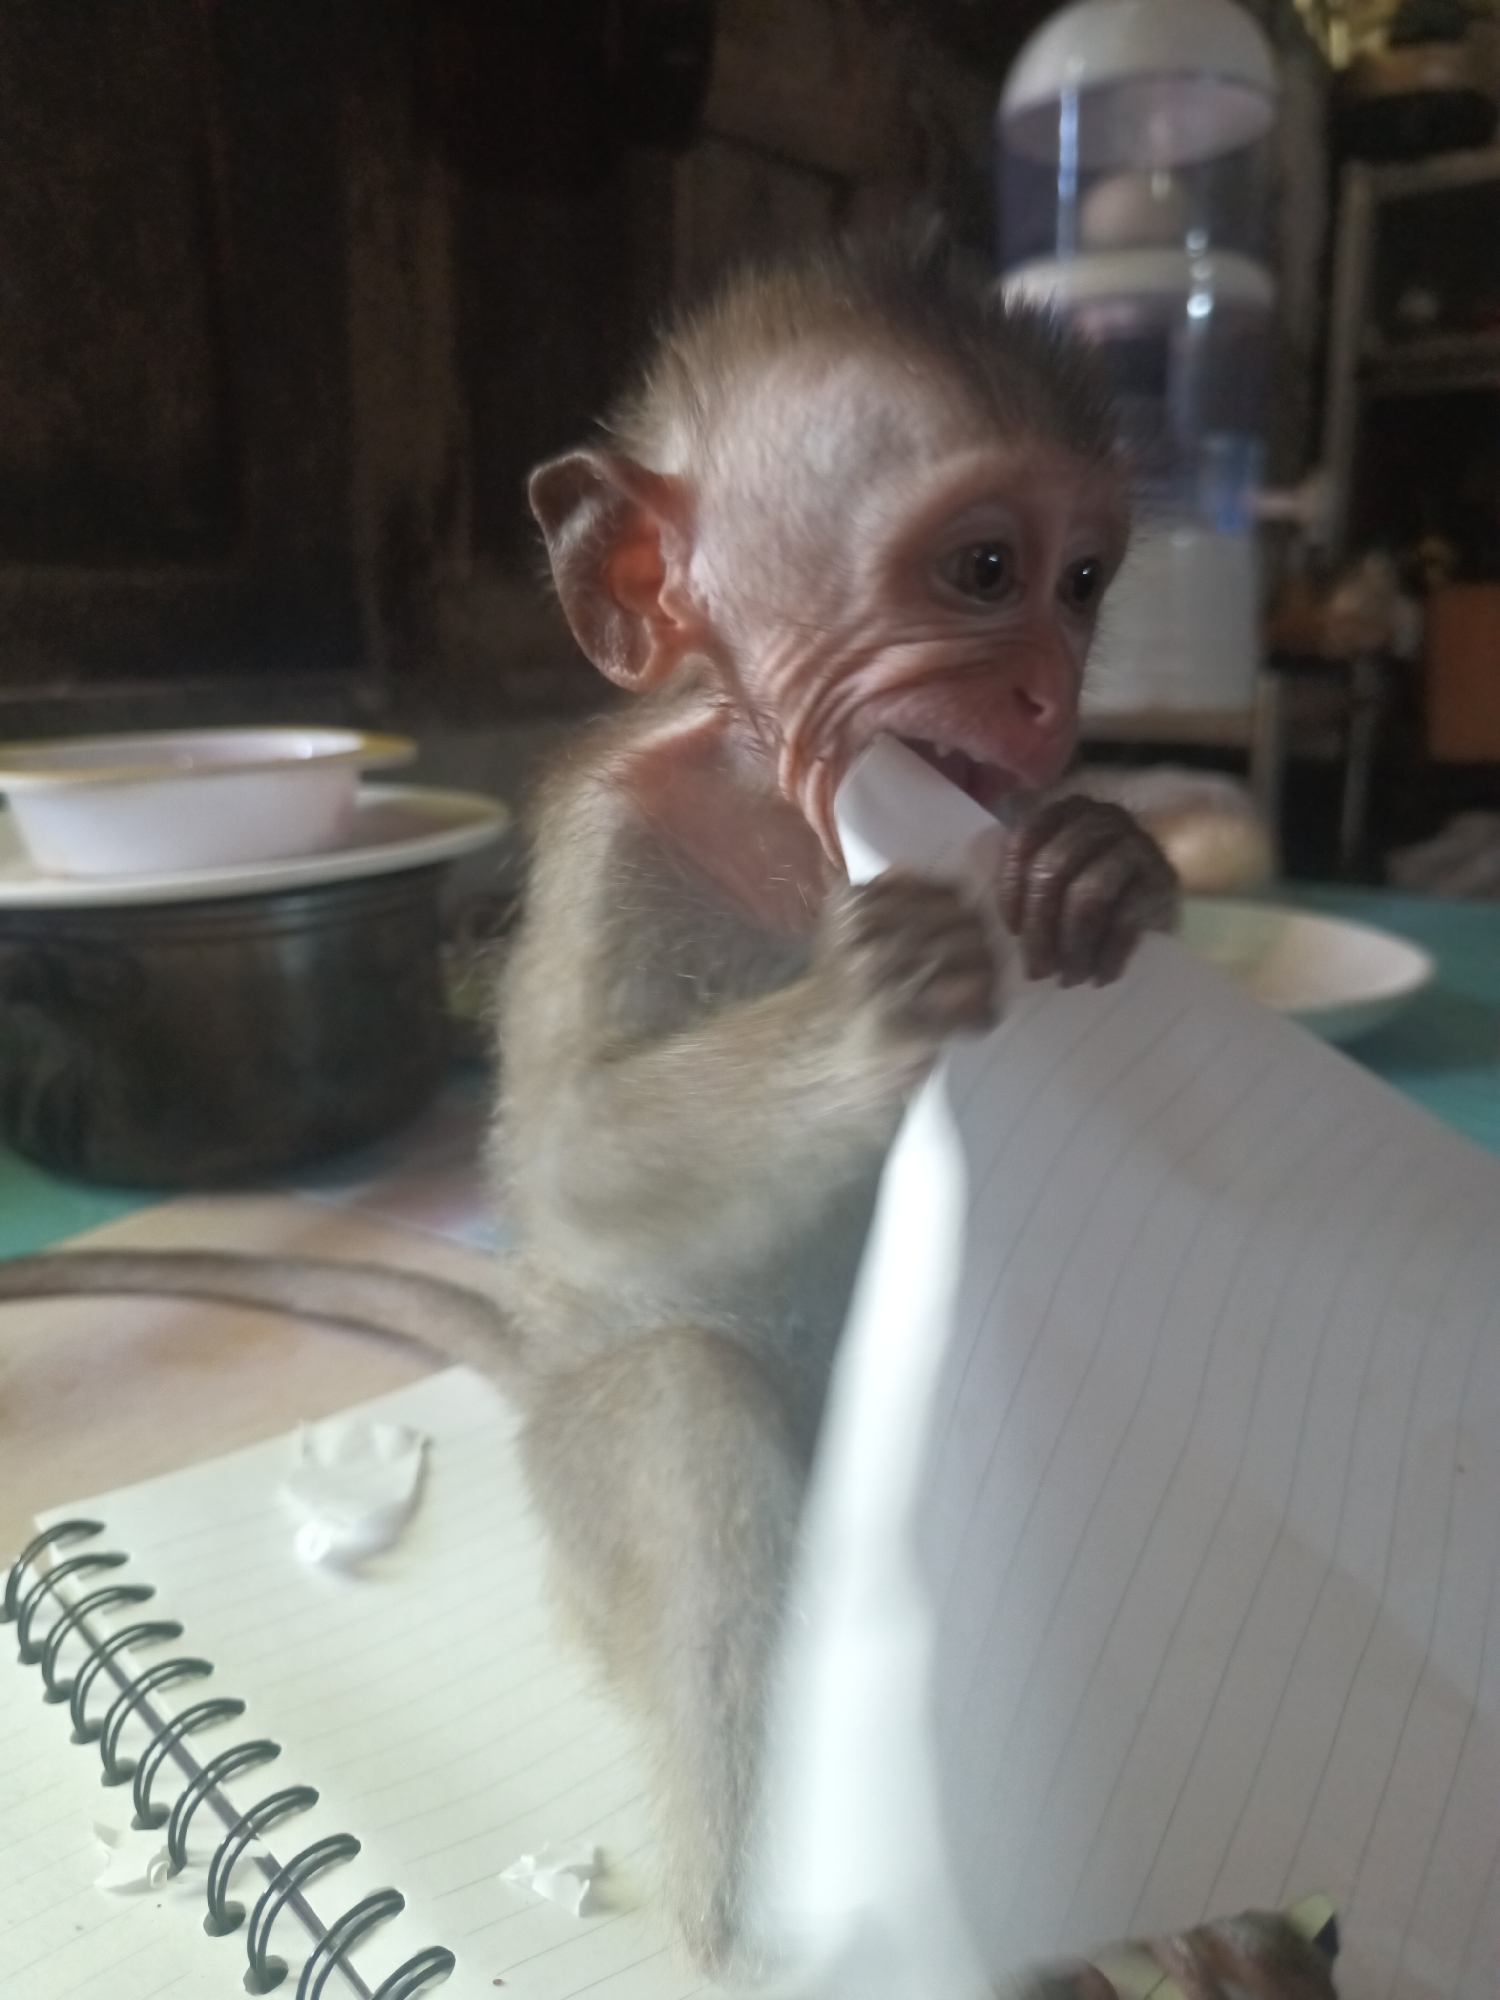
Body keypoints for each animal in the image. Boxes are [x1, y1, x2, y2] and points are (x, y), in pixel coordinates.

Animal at [0, 235, 1335, 2000]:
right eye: (985, 568)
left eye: (1086, 581)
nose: (1051, 693)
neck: (788, 819)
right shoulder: (611, 842)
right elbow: (566, 1171)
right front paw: (864, 1007)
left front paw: (1114, 859)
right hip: (580, 1495)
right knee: (687, 1414)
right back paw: (799, 1938)